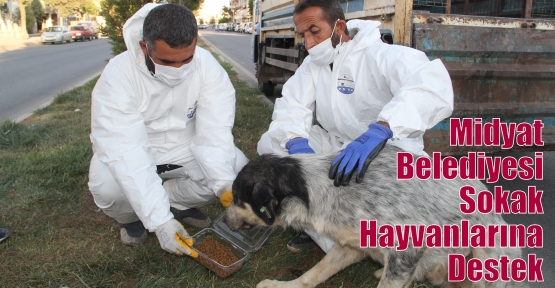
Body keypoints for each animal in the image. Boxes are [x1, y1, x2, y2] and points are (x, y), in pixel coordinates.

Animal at [225, 146, 528, 288]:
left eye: (238, 198)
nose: (225, 218)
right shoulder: (350, 246)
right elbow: (313, 275)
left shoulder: (408, 247)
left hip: (485, 258)